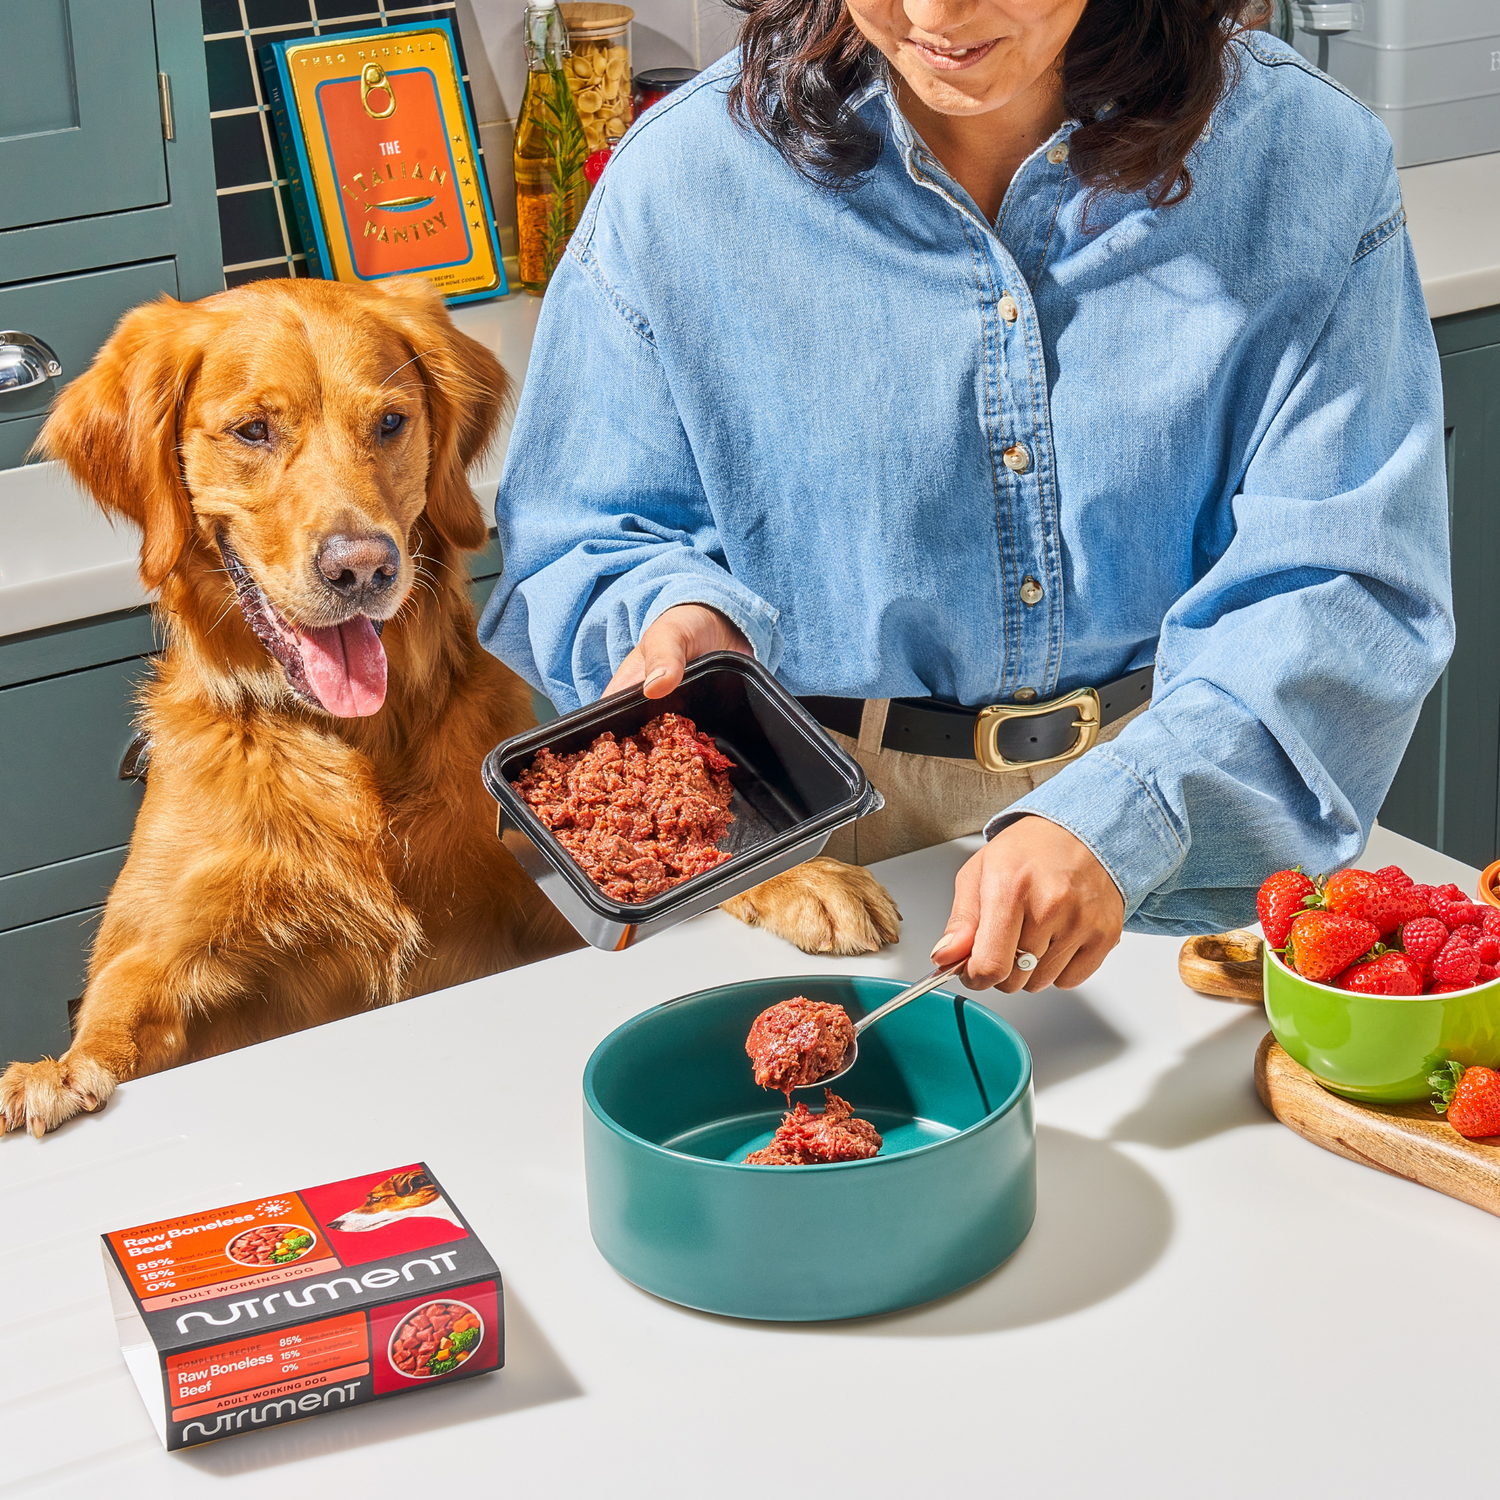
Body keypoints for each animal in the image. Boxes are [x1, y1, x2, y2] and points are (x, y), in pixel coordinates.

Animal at [0, 279, 888, 1134]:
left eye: (391, 422)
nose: (361, 567)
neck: (351, 743)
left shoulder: (532, 911)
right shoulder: (160, 946)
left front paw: (802, 878)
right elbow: (115, 1012)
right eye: (252, 431)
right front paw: (54, 1072)